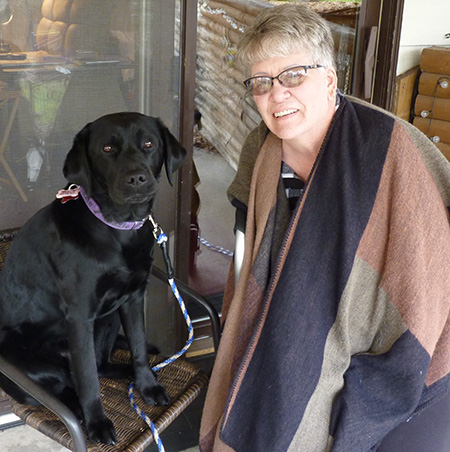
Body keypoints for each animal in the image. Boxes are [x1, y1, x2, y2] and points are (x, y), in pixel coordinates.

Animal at [0, 111, 186, 444]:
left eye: (149, 144)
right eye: (107, 149)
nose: (137, 178)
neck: (117, 229)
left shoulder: (133, 297)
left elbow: (138, 347)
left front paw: (147, 385)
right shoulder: (80, 316)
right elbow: (87, 380)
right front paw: (98, 422)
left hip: (108, 319)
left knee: (100, 366)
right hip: (30, 362)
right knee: (67, 386)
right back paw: (78, 410)